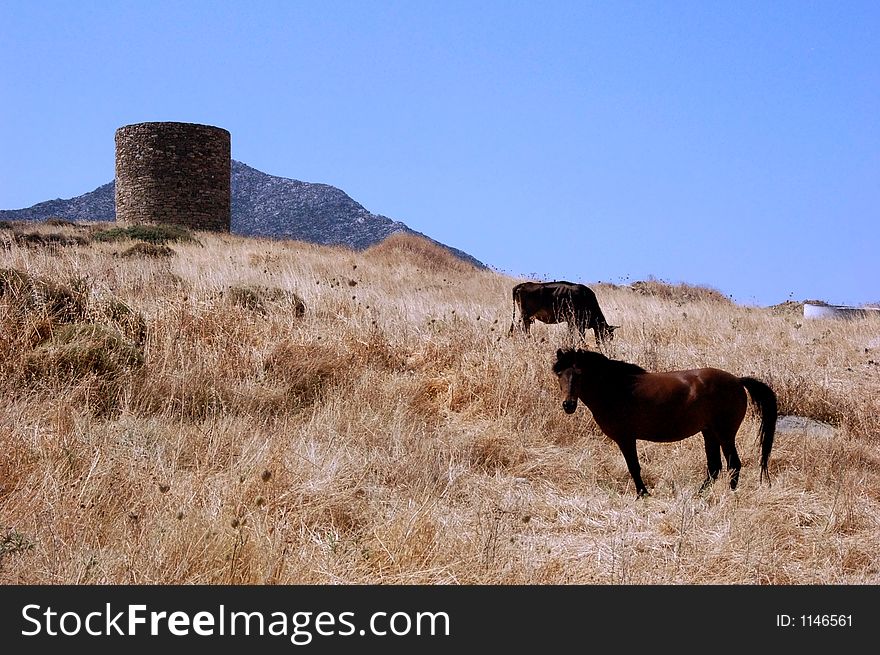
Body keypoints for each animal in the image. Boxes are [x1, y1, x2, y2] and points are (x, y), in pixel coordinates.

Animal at [552, 348, 780, 498]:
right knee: (715, 467)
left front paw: (642, 494)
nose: (568, 405)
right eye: (559, 374)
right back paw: (699, 495)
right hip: (709, 433)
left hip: (724, 433)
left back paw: (729, 495)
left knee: (734, 464)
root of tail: (738, 381)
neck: (616, 388)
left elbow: (634, 467)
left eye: (579, 374)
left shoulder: (626, 438)